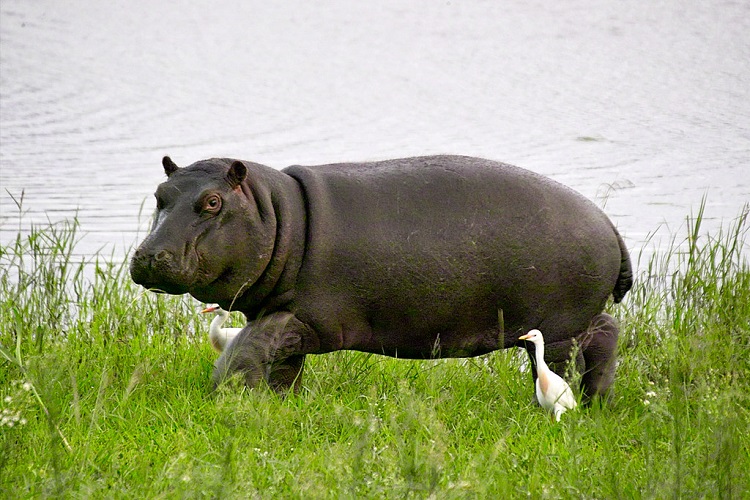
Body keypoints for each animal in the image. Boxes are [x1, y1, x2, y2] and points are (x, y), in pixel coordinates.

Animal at [131, 154, 636, 400]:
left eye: (213, 202)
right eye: (159, 194)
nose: (149, 255)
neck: (275, 211)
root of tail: (609, 223)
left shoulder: (298, 314)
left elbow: (245, 349)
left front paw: (233, 399)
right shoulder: (287, 316)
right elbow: (280, 360)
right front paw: (278, 403)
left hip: (562, 327)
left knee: (577, 354)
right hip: (569, 322)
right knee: (605, 334)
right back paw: (597, 402)